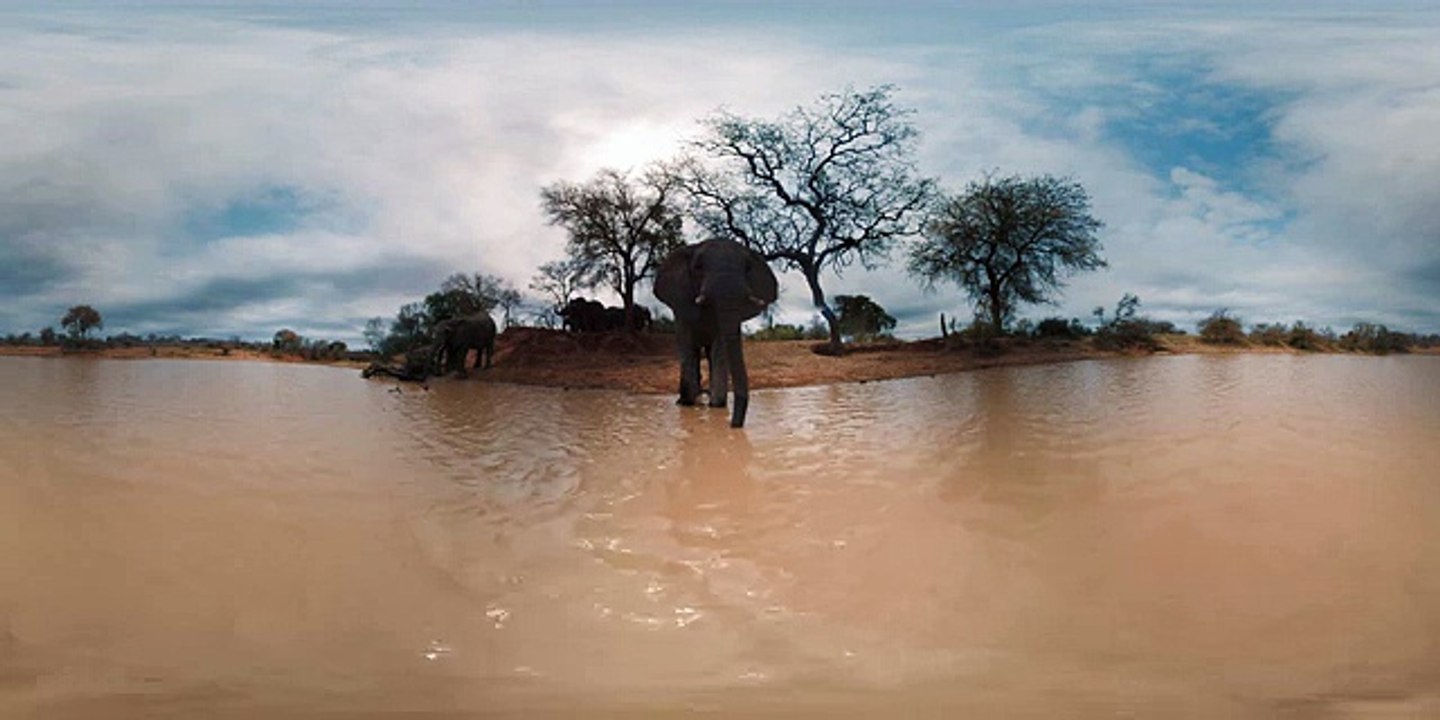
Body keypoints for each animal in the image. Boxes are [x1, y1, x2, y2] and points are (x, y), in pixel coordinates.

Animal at [653, 238, 778, 428]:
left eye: (748, 267)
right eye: (698, 267)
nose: (734, 426)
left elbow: (719, 351)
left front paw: (717, 406)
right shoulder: (682, 309)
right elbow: (688, 350)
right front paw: (688, 405)